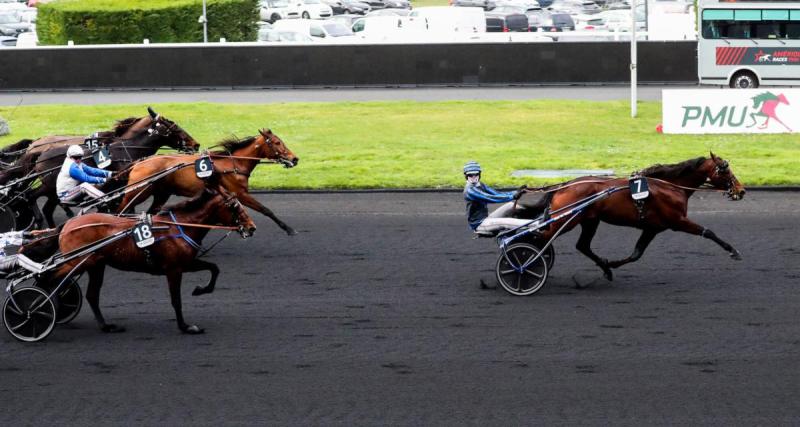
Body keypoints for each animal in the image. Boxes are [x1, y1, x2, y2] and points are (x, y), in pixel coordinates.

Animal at [22, 108, 200, 229]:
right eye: (175, 127)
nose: (195, 144)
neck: (129, 148)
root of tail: (40, 153)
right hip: (51, 186)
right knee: (31, 196)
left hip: (52, 191)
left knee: (46, 206)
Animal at [36, 186, 256, 336]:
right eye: (234, 206)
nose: (252, 227)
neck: (179, 226)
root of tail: (68, 225)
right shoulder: (174, 269)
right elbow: (176, 300)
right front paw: (186, 327)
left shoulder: (186, 264)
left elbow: (214, 268)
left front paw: (200, 290)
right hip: (78, 262)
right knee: (48, 277)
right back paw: (41, 306)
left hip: (95, 265)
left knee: (91, 294)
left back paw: (105, 326)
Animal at [110, 130, 300, 236]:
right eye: (277, 142)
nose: (294, 159)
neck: (233, 164)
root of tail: (139, 162)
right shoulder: (241, 193)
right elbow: (266, 210)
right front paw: (289, 229)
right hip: (139, 191)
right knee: (120, 209)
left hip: (161, 193)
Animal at [516, 154, 748, 280]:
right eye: (725, 171)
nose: (742, 190)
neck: (670, 186)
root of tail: (563, 186)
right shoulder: (677, 221)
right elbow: (708, 232)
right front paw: (733, 251)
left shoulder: (653, 228)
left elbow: (637, 253)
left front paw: (611, 265)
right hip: (567, 220)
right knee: (540, 239)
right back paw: (524, 265)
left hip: (589, 220)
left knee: (581, 245)